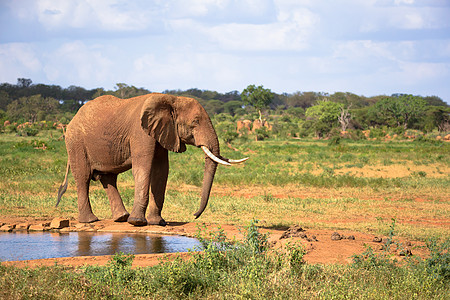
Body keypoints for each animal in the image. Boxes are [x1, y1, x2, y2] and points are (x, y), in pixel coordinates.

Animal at [56, 92, 248, 226]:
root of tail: (71, 120)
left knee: (108, 178)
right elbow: (143, 168)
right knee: (83, 177)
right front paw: (137, 223)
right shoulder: (141, 132)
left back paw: (121, 218)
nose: (194, 215)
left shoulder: (163, 132)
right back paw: (90, 220)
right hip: (75, 142)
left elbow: (161, 171)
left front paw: (158, 222)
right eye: (195, 122)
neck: (171, 99)